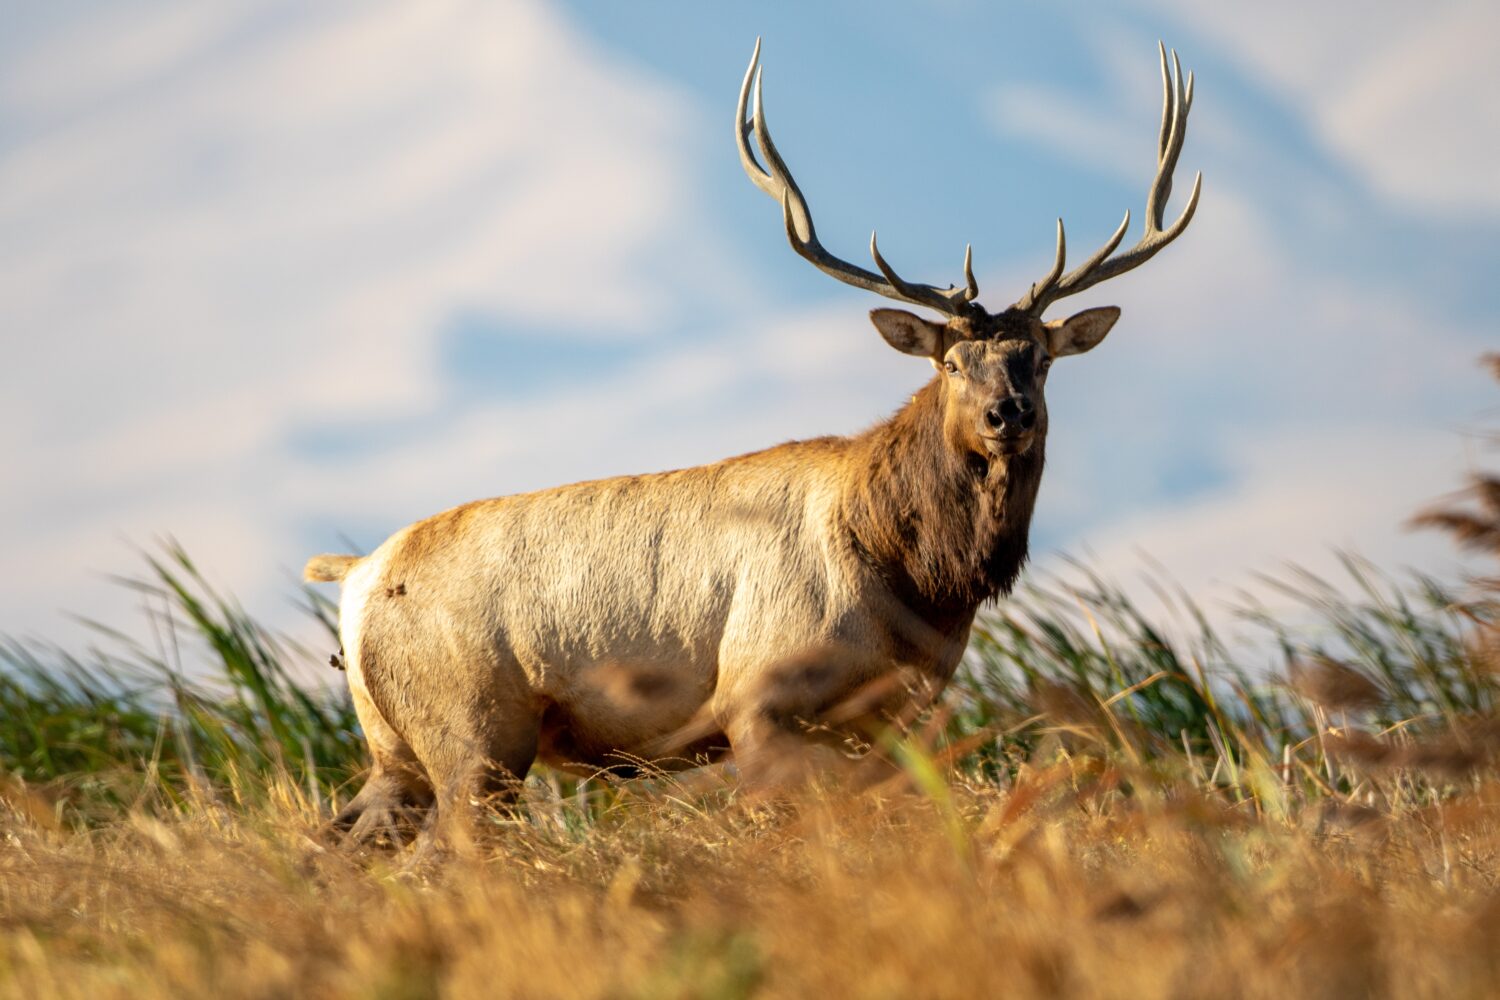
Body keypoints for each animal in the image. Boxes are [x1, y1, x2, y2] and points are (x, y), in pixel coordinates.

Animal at [307, 41, 1206, 839]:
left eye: (1040, 358)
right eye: (952, 362)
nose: (1007, 414)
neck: (913, 581)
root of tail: (356, 578)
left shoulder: (889, 720)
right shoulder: (757, 699)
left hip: (395, 749)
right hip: (473, 730)